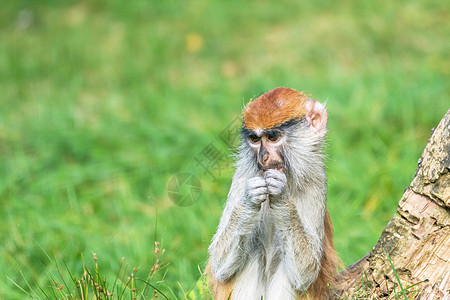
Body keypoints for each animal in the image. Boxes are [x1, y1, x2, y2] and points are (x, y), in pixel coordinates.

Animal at [206, 86, 340, 300]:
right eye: (254, 139)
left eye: (273, 137)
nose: (263, 157)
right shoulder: (243, 175)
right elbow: (220, 263)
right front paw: (249, 199)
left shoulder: (316, 180)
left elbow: (306, 272)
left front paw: (281, 197)